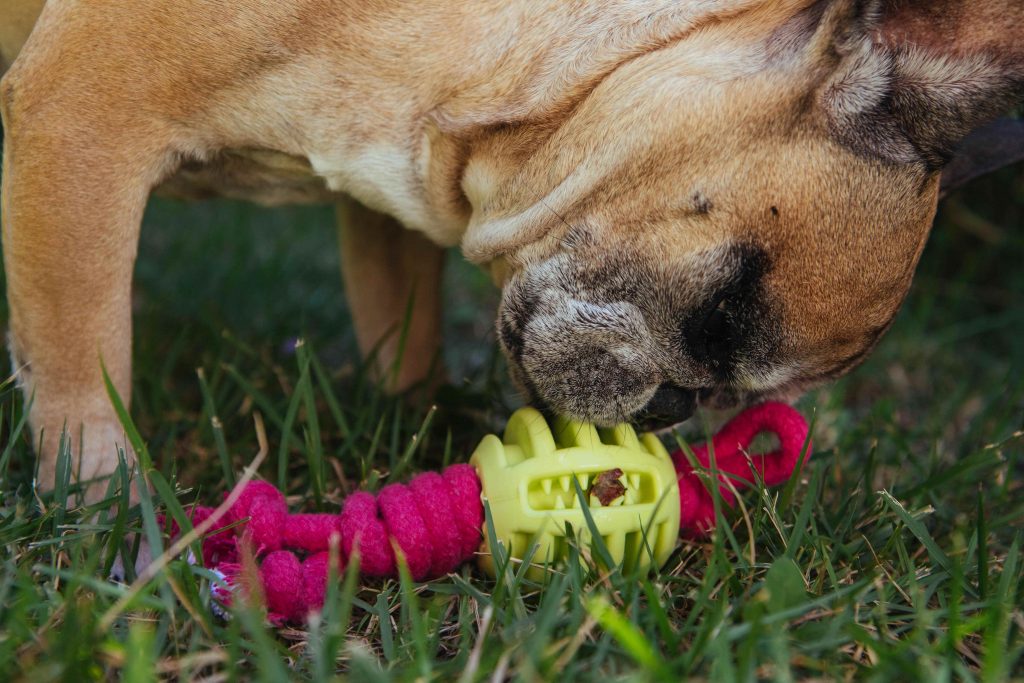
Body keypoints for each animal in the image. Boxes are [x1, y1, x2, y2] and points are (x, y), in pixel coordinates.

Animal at [0, 1, 1019, 501]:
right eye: (722, 309)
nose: (672, 407)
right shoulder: (80, 119)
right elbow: (83, 362)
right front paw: (105, 513)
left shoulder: (382, 206)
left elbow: (399, 320)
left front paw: (408, 414)